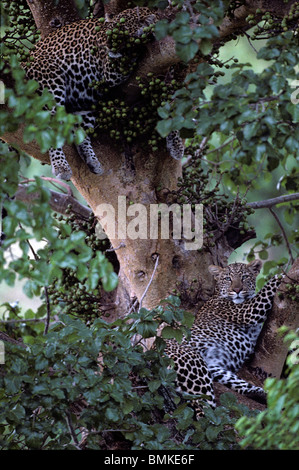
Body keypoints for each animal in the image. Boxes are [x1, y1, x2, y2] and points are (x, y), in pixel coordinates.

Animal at [164, 260, 284, 418]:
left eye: (245, 277)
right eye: (228, 279)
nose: (237, 289)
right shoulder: (248, 311)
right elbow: (265, 290)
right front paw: (280, 276)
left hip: (213, 368)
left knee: (238, 385)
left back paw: (262, 394)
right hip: (194, 366)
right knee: (204, 411)